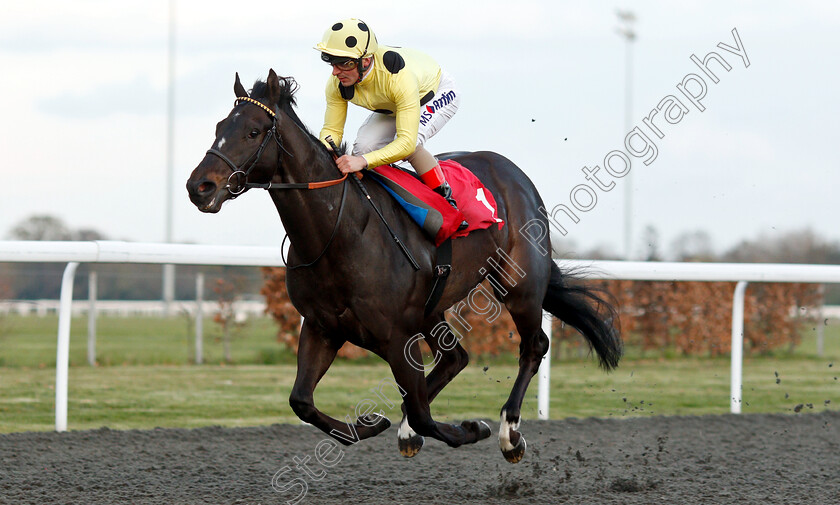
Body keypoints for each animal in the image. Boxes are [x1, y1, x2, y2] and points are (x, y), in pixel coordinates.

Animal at [185, 69, 624, 462]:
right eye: (220, 126)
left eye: (253, 131)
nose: (198, 187)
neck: (340, 232)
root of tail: (514, 174)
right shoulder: (322, 327)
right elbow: (302, 401)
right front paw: (369, 424)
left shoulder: (396, 337)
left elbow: (424, 413)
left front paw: (471, 428)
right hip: (433, 307)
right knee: (454, 359)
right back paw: (409, 429)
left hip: (521, 283)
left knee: (533, 346)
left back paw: (508, 434)